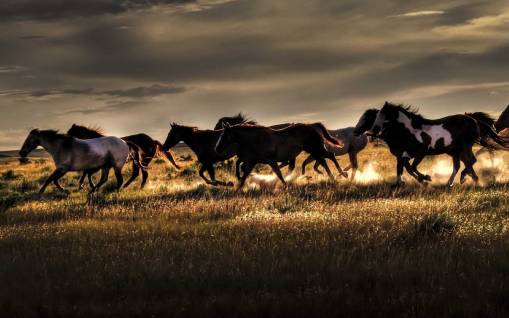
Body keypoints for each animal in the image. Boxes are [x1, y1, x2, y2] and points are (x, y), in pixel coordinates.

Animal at [213, 123, 342, 190]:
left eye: (224, 136)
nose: (216, 148)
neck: (257, 140)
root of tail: (312, 126)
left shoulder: (270, 160)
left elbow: (278, 173)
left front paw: (285, 185)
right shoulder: (252, 161)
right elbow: (244, 173)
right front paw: (239, 187)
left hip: (315, 149)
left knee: (329, 157)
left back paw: (339, 175)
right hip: (314, 151)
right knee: (324, 160)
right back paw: (335, 177)